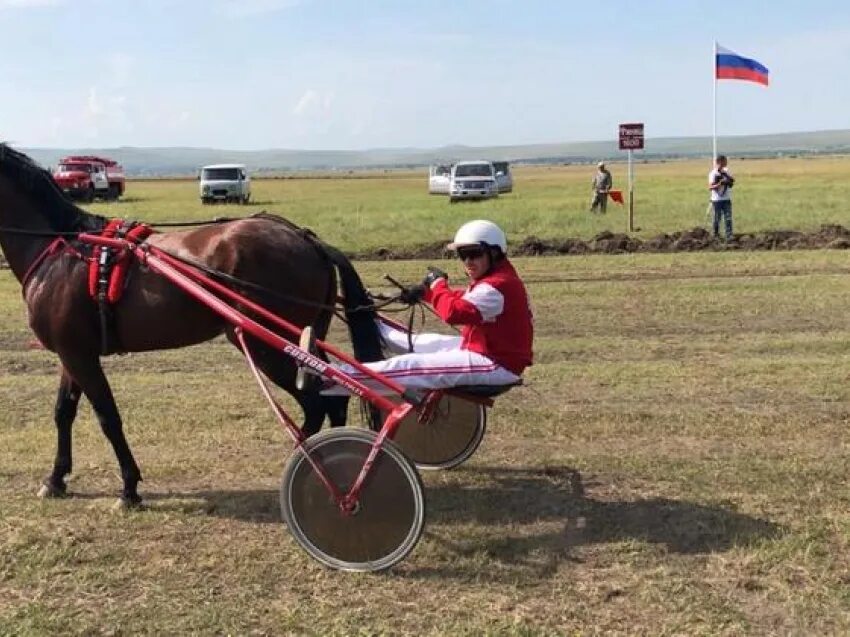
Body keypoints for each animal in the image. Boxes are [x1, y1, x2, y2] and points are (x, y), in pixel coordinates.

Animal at [0, 144, 378, 506]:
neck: (62, 249)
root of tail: (306, 239)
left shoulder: (79, 356)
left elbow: (108, 417)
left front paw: (128, 488)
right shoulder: (73, 352)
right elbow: (63, 412)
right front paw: (55, 479)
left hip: (268, 346)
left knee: (316, 405)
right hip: (305, 341)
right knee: (333, 401)